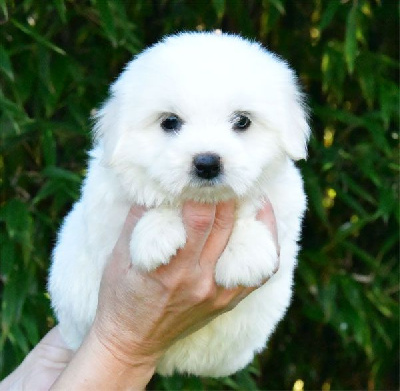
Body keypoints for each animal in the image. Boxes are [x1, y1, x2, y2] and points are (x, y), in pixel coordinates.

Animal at [49, 32, 310, 378]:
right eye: (170, 122)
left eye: (242, 121)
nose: (207, 163)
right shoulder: (105, 205)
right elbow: (148, 201)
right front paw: (156, 234)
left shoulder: (287, 198)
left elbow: (255, 208)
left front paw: (245, 254)